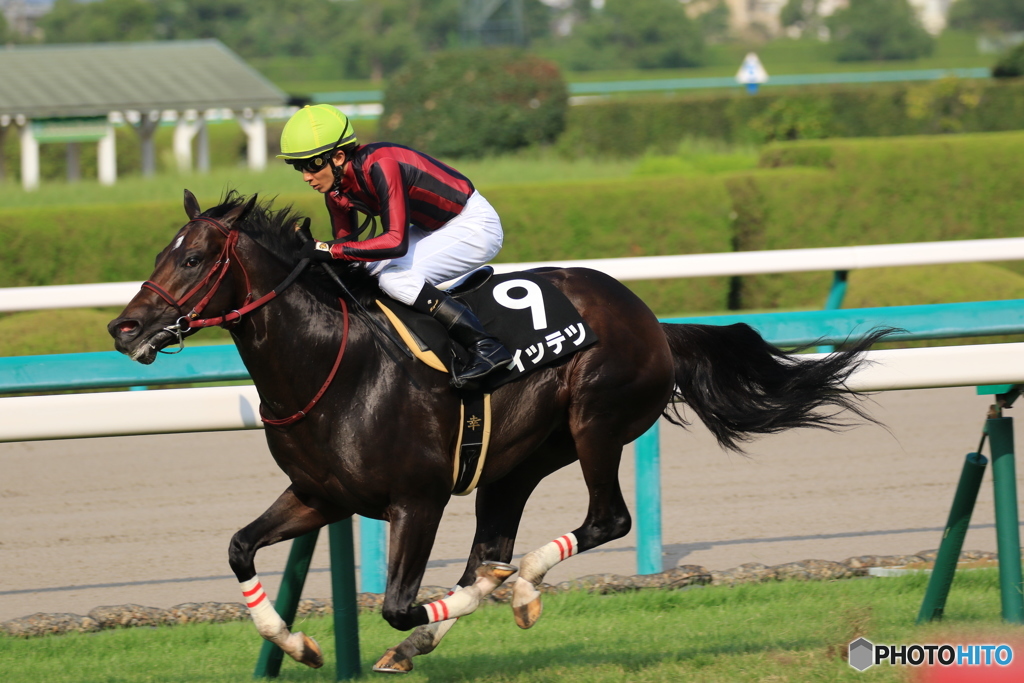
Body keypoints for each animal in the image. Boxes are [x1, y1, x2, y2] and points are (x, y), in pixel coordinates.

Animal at [108, 191, 884, 673]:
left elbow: (397, 604)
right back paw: (489, 595)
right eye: (159, 253)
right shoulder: (319, 494)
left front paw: (493, 599)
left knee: (604, 519)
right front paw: (299, 645)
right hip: (517, 463)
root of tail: (651, 319)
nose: (125, 326)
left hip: (595, 421)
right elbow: (239, 547)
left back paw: (520, 586)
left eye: (193, 258)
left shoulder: (416, 500)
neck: (334, 362)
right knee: (491, 548)